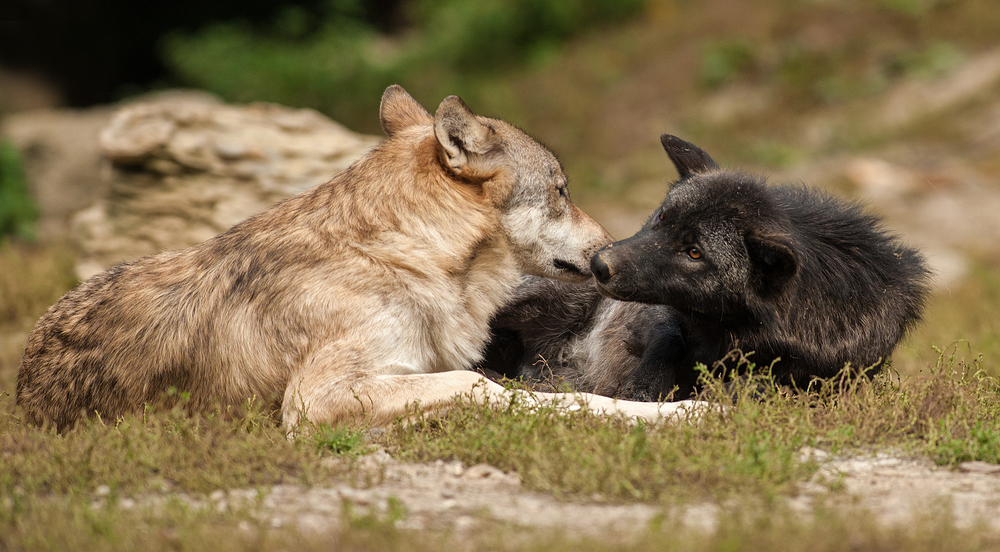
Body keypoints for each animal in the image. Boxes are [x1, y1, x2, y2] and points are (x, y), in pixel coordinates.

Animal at [15, 87, 704, 432]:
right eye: (562, 190)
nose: (608, 251)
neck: (398, 257)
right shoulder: (311, 401)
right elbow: (491, 386)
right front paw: (688, 413)